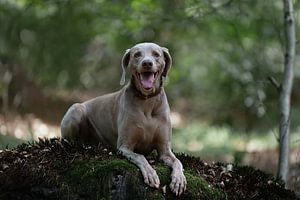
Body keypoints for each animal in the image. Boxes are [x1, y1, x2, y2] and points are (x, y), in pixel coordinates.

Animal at [60, 42, 186, 195]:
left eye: (156, 54)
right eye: (137, 54)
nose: (147, 63)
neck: (146, 101)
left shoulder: (165, 151)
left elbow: (177, 162)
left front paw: (179, 180)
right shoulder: (124, 147)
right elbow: (140, 156)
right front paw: (150, 173)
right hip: (76, 109)